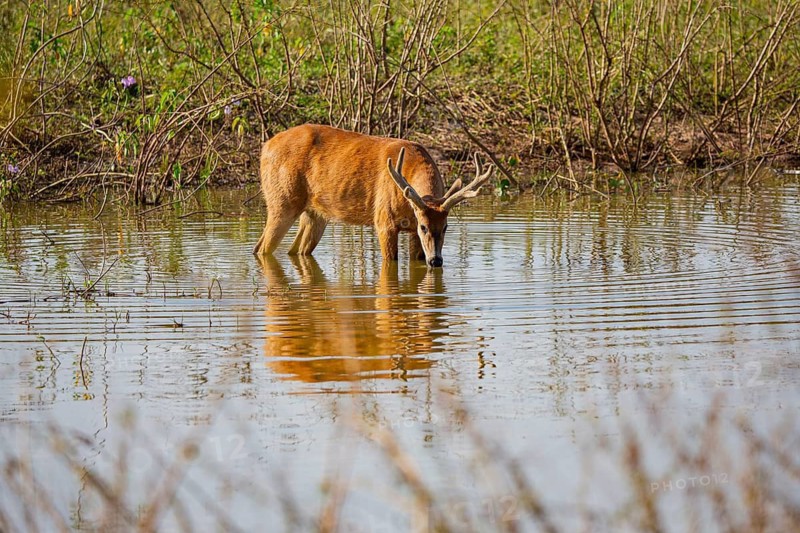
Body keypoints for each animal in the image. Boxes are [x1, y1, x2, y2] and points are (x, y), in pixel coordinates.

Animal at [253, 124, 493, 268]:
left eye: (445, 227)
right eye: (424, 226)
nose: (436, 261)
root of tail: (266, 147)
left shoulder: (412, 229)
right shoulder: (384, 221)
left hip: (315, 214)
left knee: (296, 250)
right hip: (282, 201)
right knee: (262, 248)